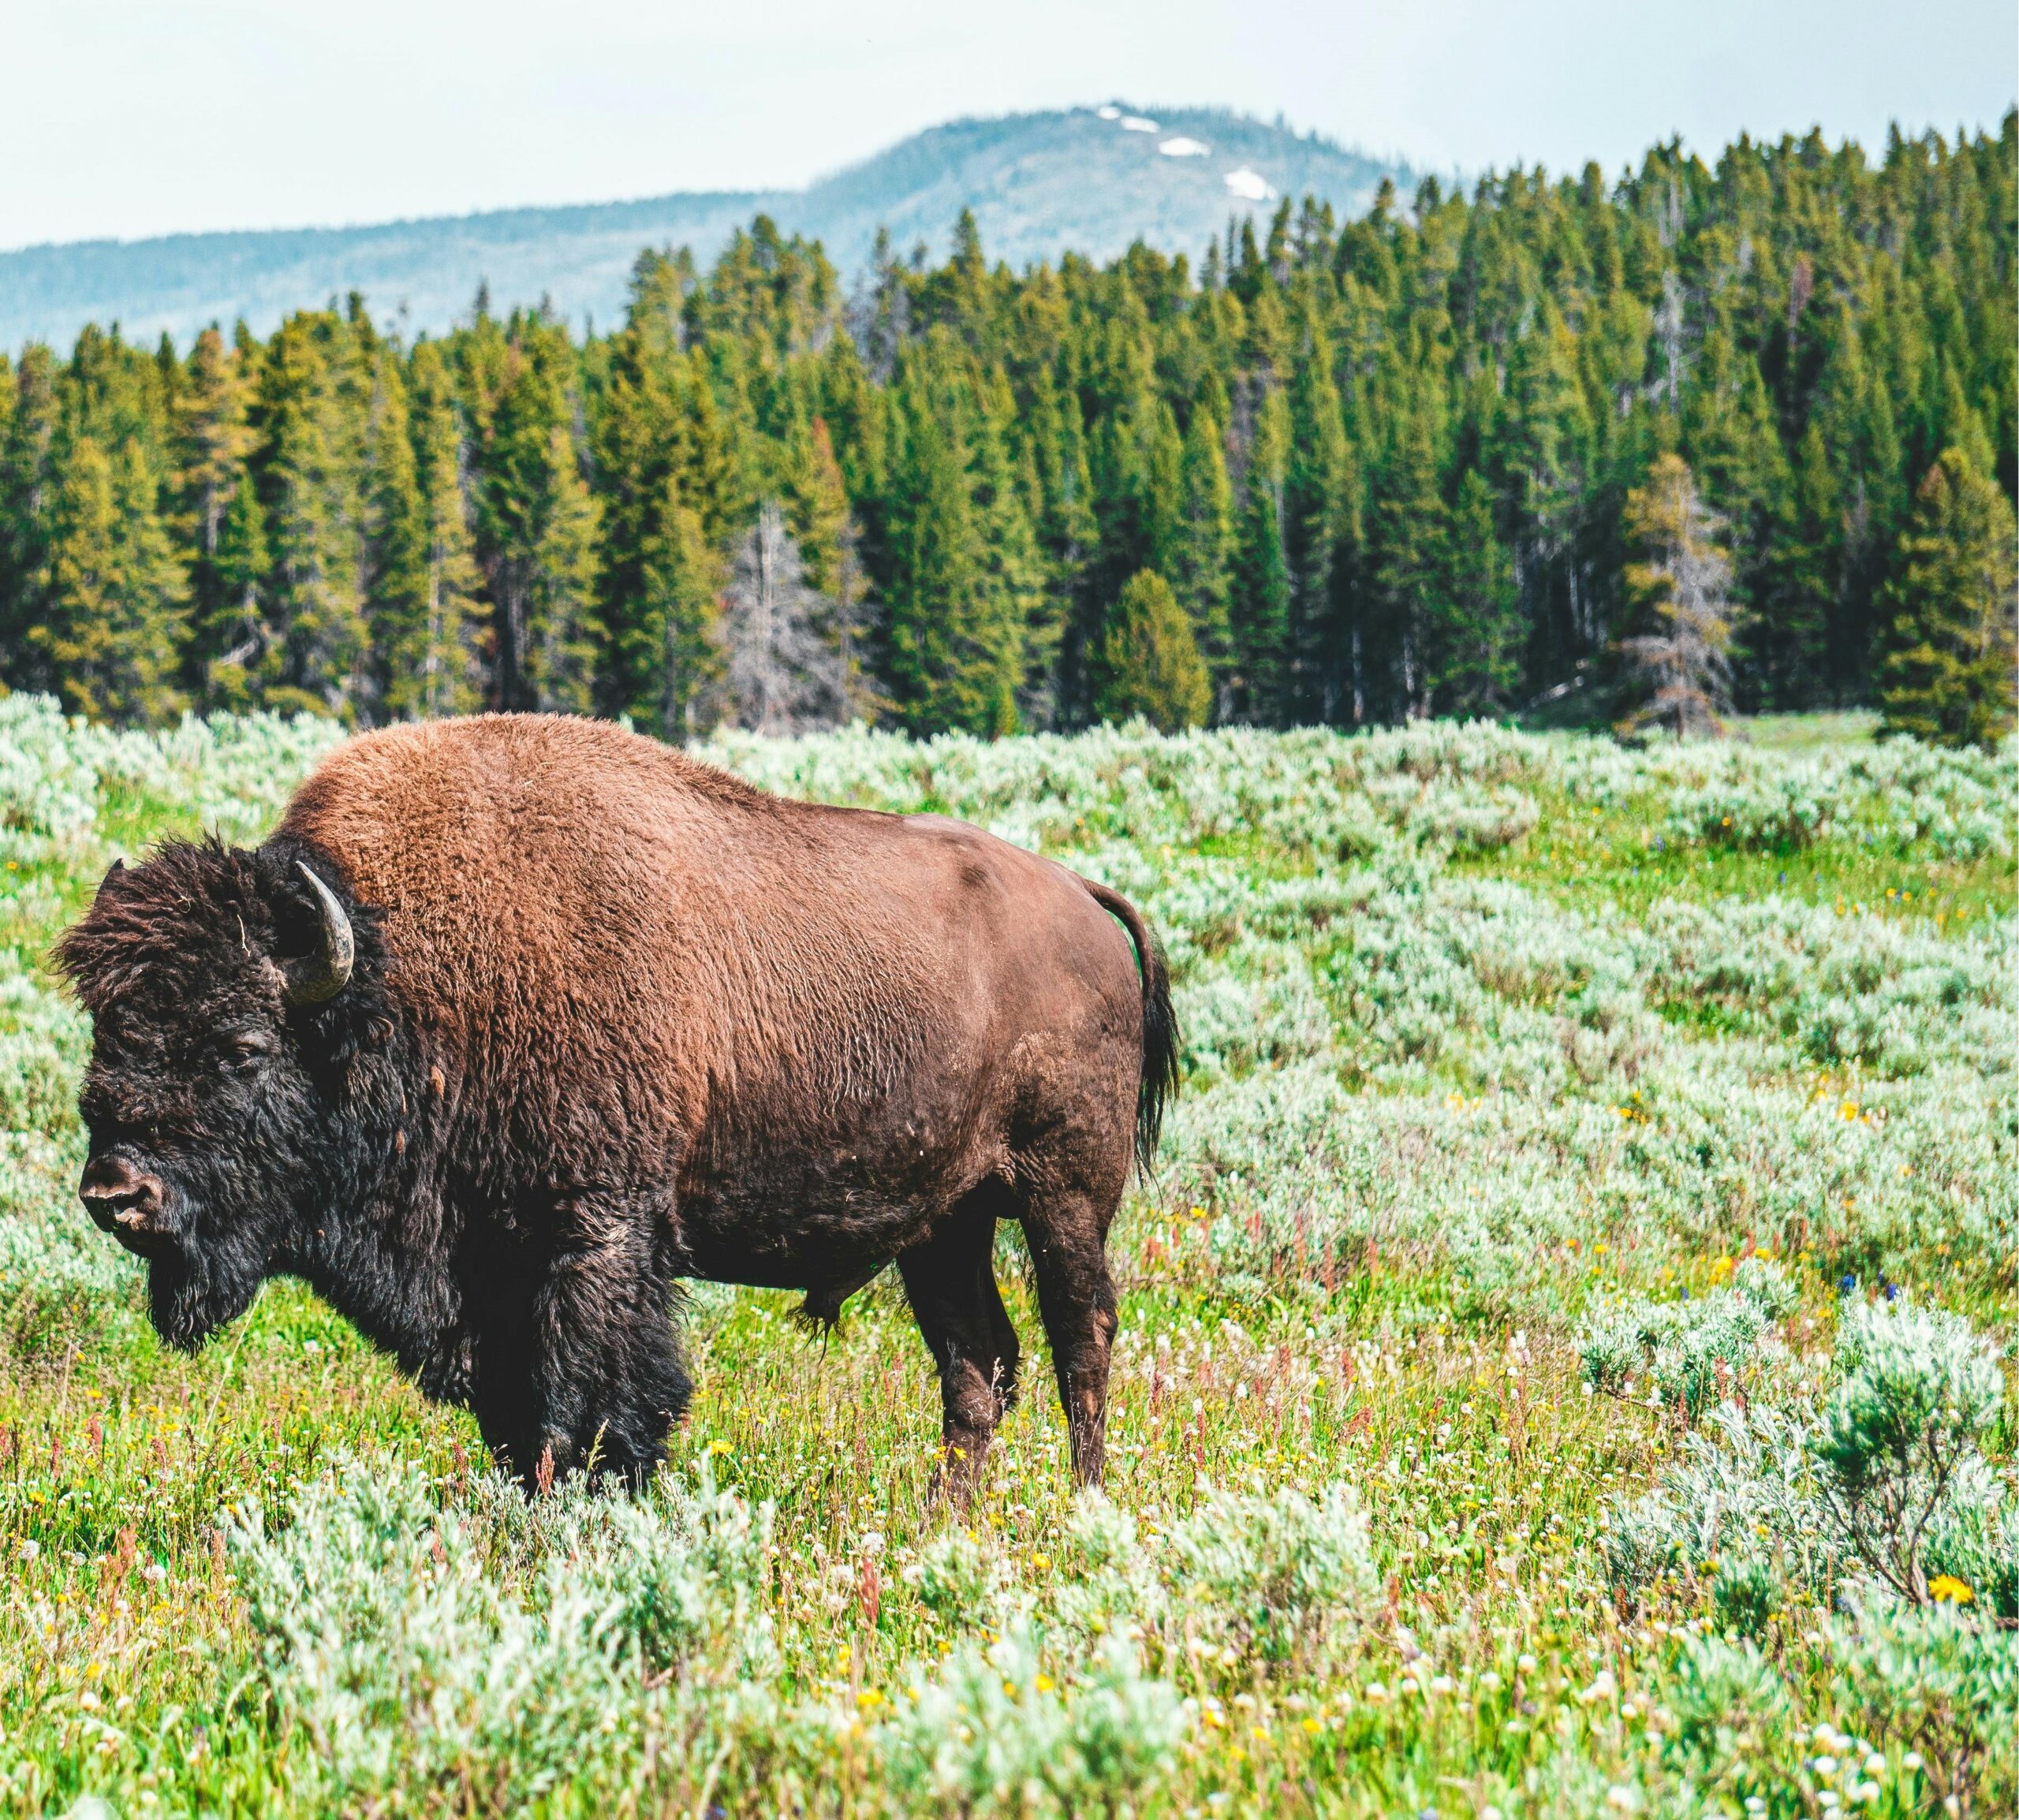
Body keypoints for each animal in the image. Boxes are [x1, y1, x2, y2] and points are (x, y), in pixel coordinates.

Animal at [55, 714, 1179, 1493]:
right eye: (106, 1035)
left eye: (243, 1046)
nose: (116, 1192)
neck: (397, 979)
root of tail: (1083, 897)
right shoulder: (494, 1277)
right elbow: (520, 1422)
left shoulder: (593, 1238)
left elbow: (591, 1408)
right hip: (943, 1225)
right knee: (976, 1367)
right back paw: (948, 1522)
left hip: (1062, 1196)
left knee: (1080, 1338)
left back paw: (1082, 1507)